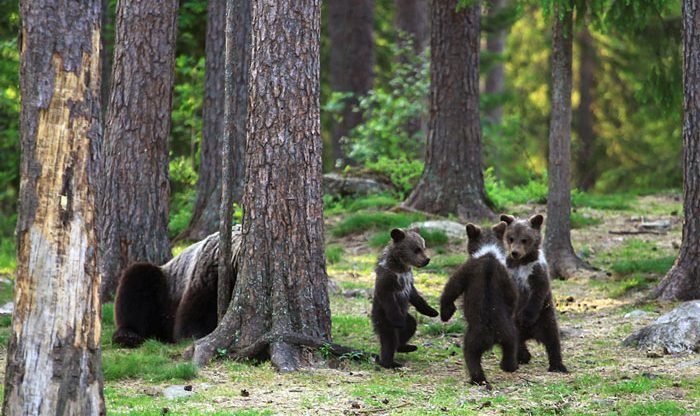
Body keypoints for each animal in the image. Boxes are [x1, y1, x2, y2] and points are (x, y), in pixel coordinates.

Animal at [371, 228, 439, 368]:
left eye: (424, 247)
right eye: (416, 249)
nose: (427, 259)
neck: (401, 267)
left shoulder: (409, 280)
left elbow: (416, 297)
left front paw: (432, 311)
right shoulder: (388, 280)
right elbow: (388, 298)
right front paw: (399, 321)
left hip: (406, 316)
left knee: (410, 326)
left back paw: (406, 346)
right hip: (384, 318)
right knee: (389, 339)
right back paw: (390, 362)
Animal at [439, 222, 519, 385]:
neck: (488, 253)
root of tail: (492, 334)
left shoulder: (465, 270)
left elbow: (451, 289)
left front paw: (445, 313)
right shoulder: (506, 278)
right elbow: (513, 296)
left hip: (473, 337)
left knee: (471, 356)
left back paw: (477, 379)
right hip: (509, 332)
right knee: (511, 347)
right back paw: (509, 366)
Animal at [500, 214, 568, 373]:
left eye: (524, 239)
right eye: (511, 238)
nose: (515, 252)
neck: (522, 262)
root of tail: (530, 334)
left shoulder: (536, 271)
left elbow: (537, 292)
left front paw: (526, 317)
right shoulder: (510, 272)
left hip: (545, 316)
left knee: (552, 339)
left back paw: (557, 365)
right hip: (512, 325)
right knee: (515, 341)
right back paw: (521, 357)